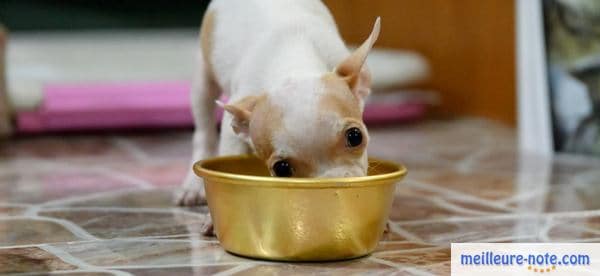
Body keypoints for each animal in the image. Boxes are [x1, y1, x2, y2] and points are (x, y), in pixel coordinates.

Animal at [176, 0, 380, 229]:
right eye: (282, 169)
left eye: (355, 136)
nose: (334, 186)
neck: (292, 64)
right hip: (203, 77)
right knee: (203, 129)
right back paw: (192, 186)